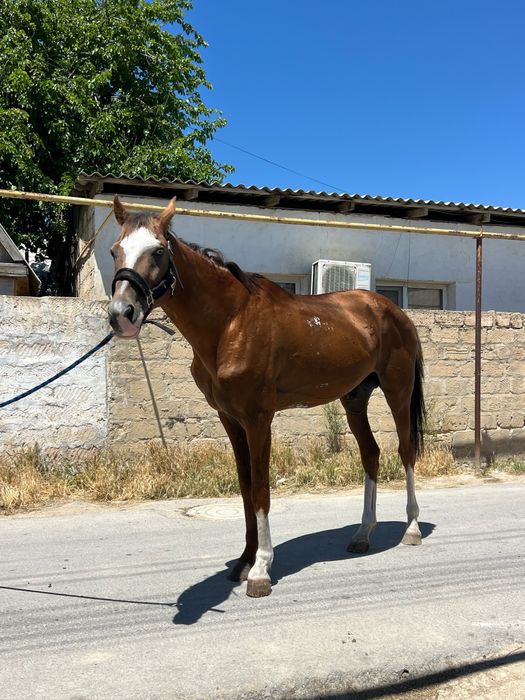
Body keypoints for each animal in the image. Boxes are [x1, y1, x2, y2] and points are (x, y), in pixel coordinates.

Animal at [108, 196, 426, 598]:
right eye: (115, 250)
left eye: (158, 251)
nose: (121, 314)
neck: (231, 323)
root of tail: (395, 311)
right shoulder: (231, 419)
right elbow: (245, 488)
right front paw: (244, 561)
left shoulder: (258, 418)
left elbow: (260, 488)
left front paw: (260, 569)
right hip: (354, 399)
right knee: (371, 453)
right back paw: (362, 534)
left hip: (398, 390)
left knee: (406, 451)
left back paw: (412, 528)